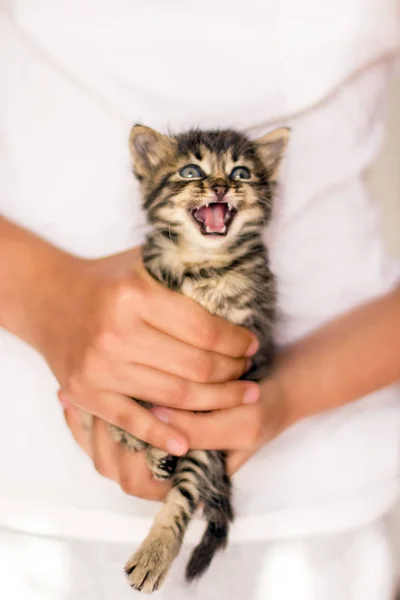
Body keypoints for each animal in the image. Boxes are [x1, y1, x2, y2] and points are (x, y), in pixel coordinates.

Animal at [99, 124, 288, 592]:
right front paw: (132, 428)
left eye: (240, 173)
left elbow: (187, 488)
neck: (205, 266)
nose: (220, 185)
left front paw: (155, 551)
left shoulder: (243, 364)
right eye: (191, 171)